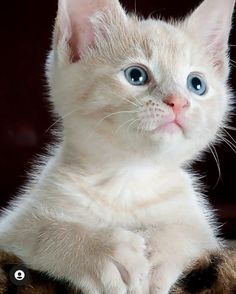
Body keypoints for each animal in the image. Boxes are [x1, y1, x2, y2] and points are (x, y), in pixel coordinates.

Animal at [0, 0, 235, 292]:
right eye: (136, 75)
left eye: (196, 84)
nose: (179, 102)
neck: (129, 177)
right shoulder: (11, 228)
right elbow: (41, 231)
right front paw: (99, 252)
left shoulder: (205, 232)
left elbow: (188, 232)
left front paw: (159, 250)